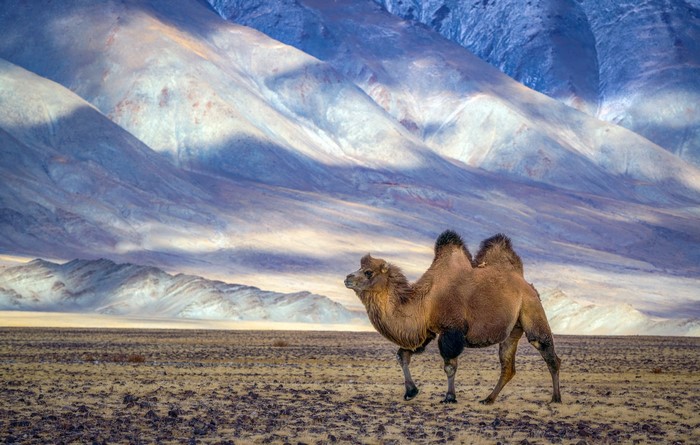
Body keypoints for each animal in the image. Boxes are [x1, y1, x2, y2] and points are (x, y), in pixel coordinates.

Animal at [344, 230, 561, 404]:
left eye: (368, 272)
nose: (347, 278)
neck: (427, 300)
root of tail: (525, 283)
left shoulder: (451, 330)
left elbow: (449, 366)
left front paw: (449, 397)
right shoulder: (427, 331)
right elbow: (402, 355)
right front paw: (411, 392)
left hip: (531, 307)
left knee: (546, 351)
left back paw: (556, 399)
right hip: (513, 329)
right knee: (508, 366)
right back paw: (488, 399)